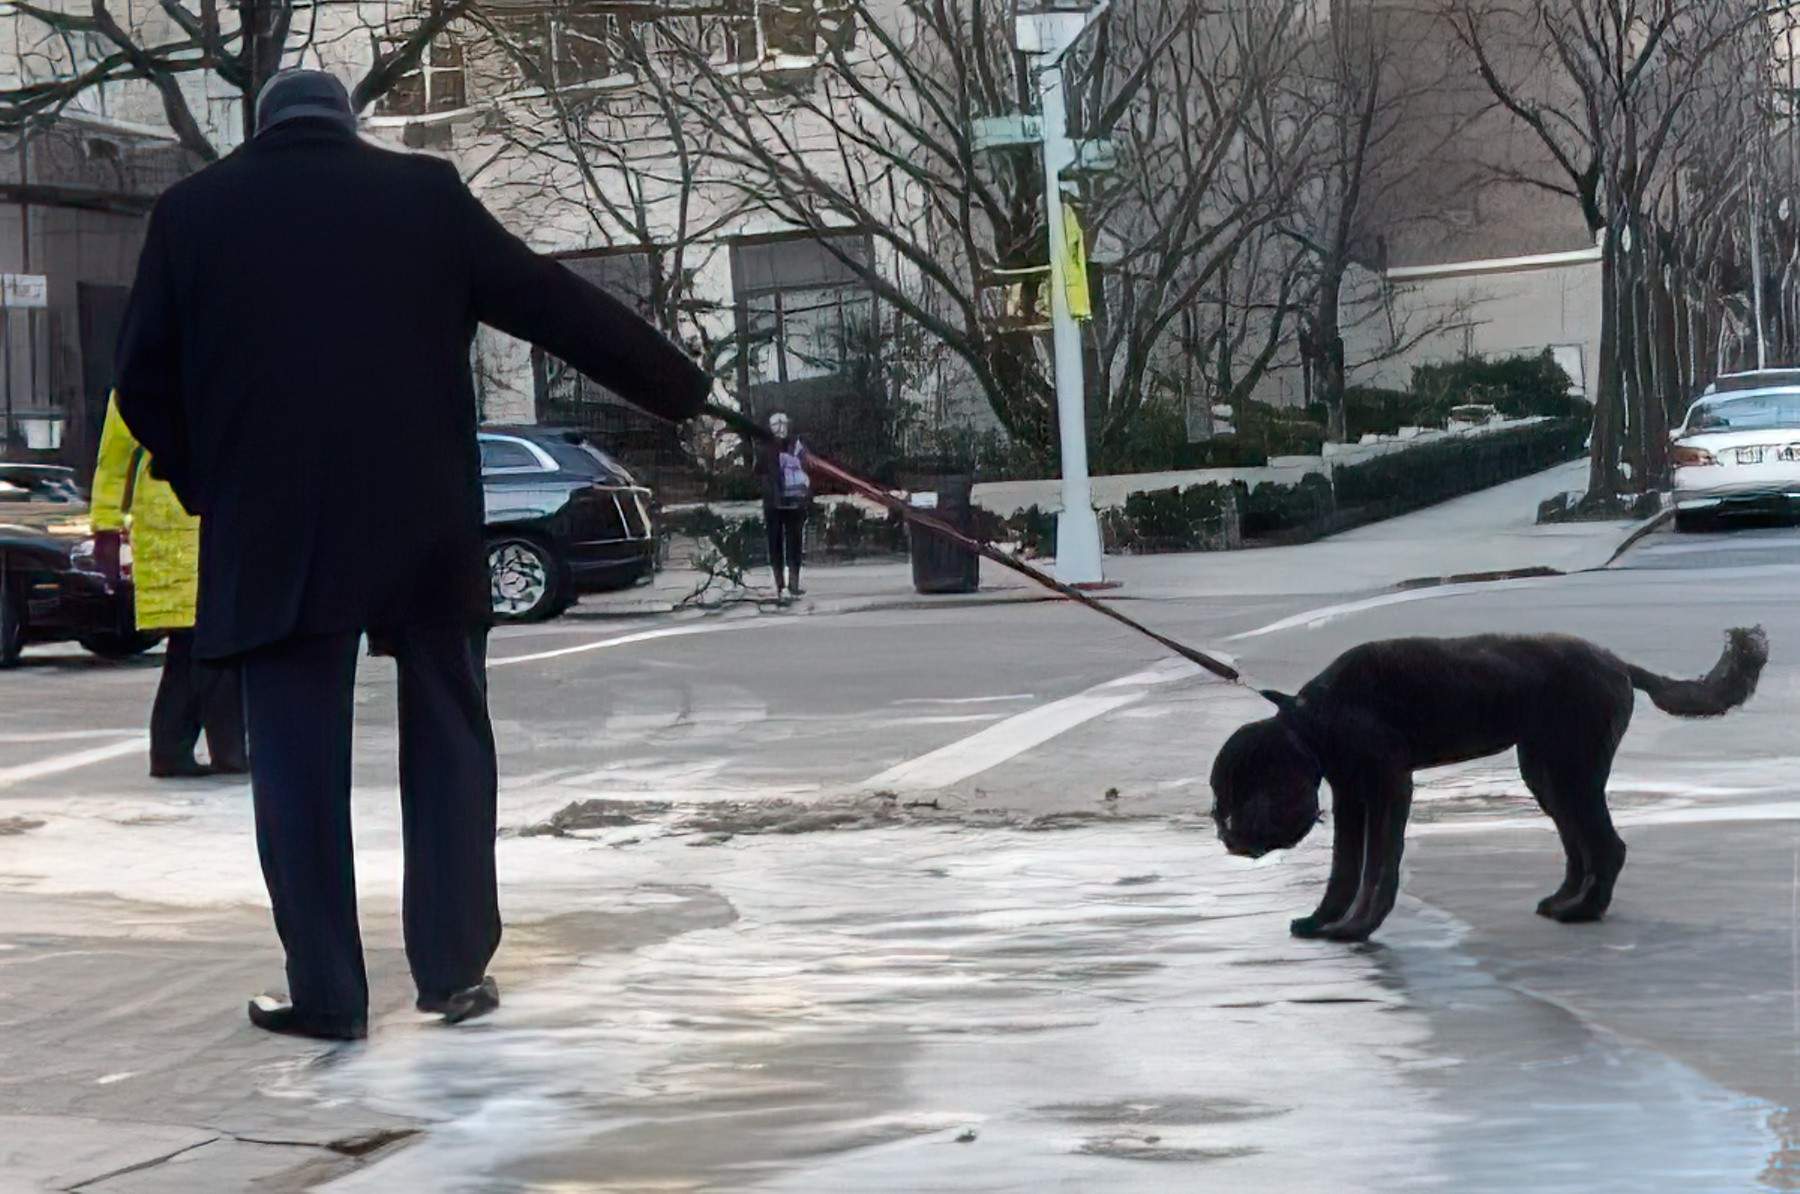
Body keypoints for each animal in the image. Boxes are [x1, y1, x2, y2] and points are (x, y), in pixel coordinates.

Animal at [1209, 630, 1771, 950]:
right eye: (1220, 797)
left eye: (1239, 790)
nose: (1227, 839)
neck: (1318, 717)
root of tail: (1620, 665)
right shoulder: (1352, 797)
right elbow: (1343, 871)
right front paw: (1323, 920)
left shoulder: (1390, 787)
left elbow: (1377, 869)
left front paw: (1357, 929)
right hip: (1547, 772)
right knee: (1581, 845)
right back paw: (1566, 901)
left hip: (1571, 768)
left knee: (1607, 846)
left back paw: (1583, 912)